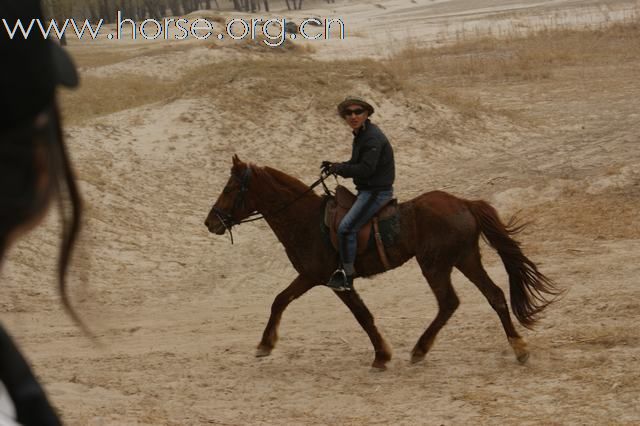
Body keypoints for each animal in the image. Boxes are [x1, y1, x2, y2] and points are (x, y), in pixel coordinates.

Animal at [205, 156, 560, 370]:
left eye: (231, 188)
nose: (211, 222)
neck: (306, 220)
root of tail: (464, 204)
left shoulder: (326, 278)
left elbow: (360, 316)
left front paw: (381, 355)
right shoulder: (313, 277)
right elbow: (282, 300)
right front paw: (266, 344)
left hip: (436, 264)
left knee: (449, 302)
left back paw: (420, 349)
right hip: (465, 259)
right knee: (495, 296)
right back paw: (518, 347)